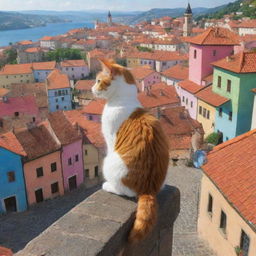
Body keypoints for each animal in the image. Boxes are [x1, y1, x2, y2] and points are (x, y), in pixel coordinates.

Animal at [91, 59, 169, 243]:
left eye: (98, 81)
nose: (91, 88)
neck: (123, 100)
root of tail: (149, 188)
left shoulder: (110, 140)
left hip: (109, 162)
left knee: (123, 191)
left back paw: (108, 186)